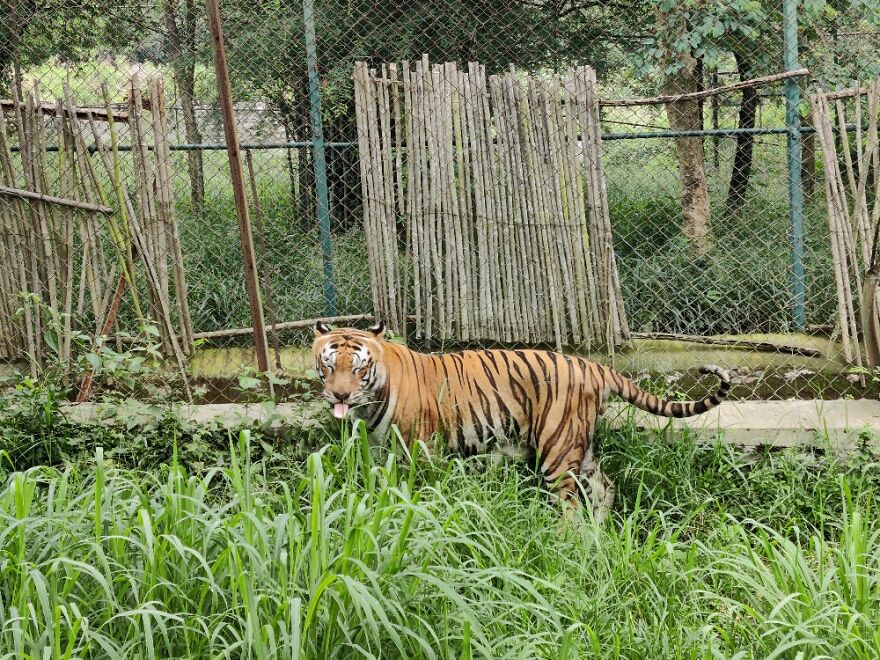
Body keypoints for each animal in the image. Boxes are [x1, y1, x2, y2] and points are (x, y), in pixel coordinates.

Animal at [312, 320, 730, 521]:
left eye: (358, 367)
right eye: (329, 365)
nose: (340, 396)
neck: (370, 400)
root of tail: (594, 365)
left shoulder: (423, 448)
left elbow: (420, 492)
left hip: (558, 447)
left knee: (570, 503)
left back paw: (565, 543)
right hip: (582, 447)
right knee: (604, 488)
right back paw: (597, 538)